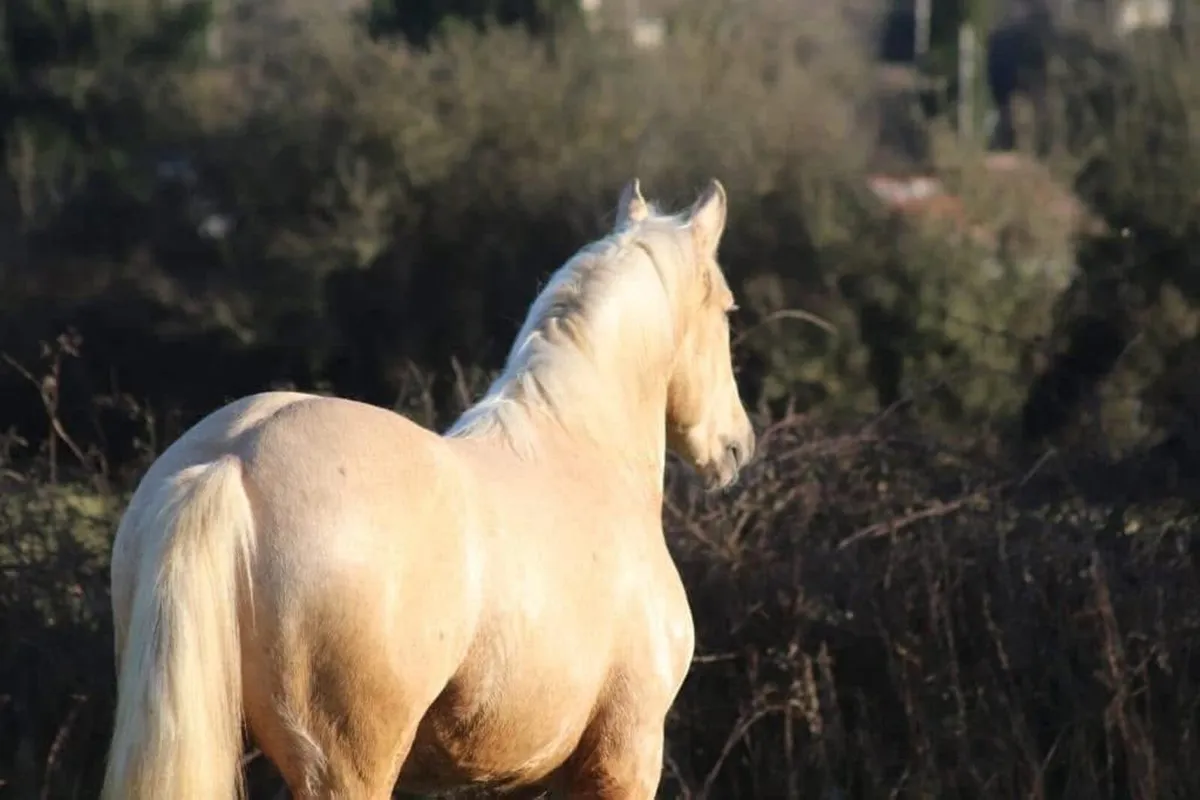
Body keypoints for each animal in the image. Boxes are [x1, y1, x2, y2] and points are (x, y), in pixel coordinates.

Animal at [100, 178, 756, 799]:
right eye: (727, 309)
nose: (736, 446)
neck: (581, 446)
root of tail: (231, 460)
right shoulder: (626, 756)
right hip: (346, 770)